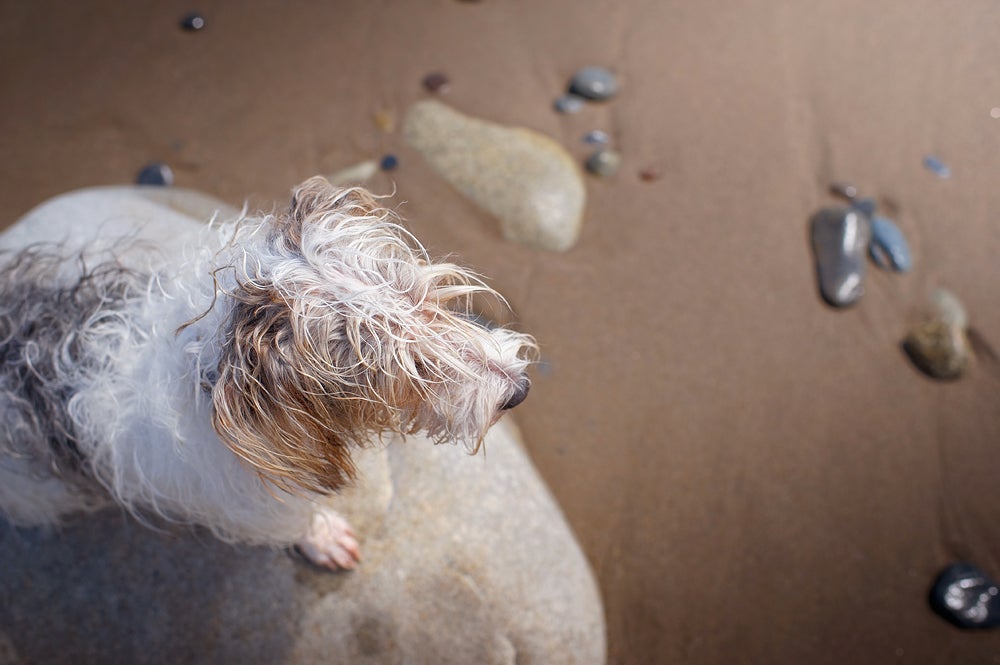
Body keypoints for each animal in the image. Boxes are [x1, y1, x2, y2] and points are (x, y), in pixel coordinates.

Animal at [0, 178, 540, 572]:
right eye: (404, 372)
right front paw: (321, 536)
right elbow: (293, 524)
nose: (519, 390)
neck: (206, 368)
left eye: (424, 301)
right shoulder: (244, 504)